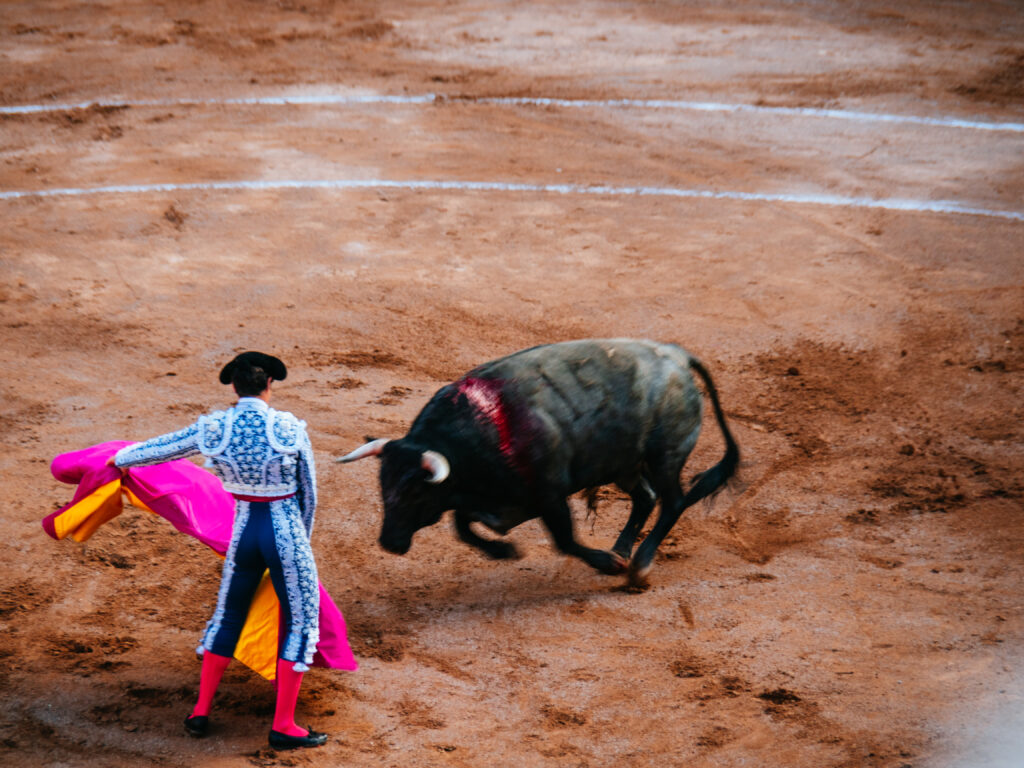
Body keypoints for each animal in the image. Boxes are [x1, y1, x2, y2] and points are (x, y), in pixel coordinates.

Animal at [339, 339, 741, 585]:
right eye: (383, 485)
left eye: (414, 492)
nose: (389, 542)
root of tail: (676, 356)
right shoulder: (491, 501)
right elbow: (462, 527)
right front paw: (503, 550)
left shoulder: (549, 495)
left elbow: (565, 540)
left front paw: (607, 563)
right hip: (624, 464)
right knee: (646, 498)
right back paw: (622, 550)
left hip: (664, 457)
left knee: (672, 501)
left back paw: (638, 564)